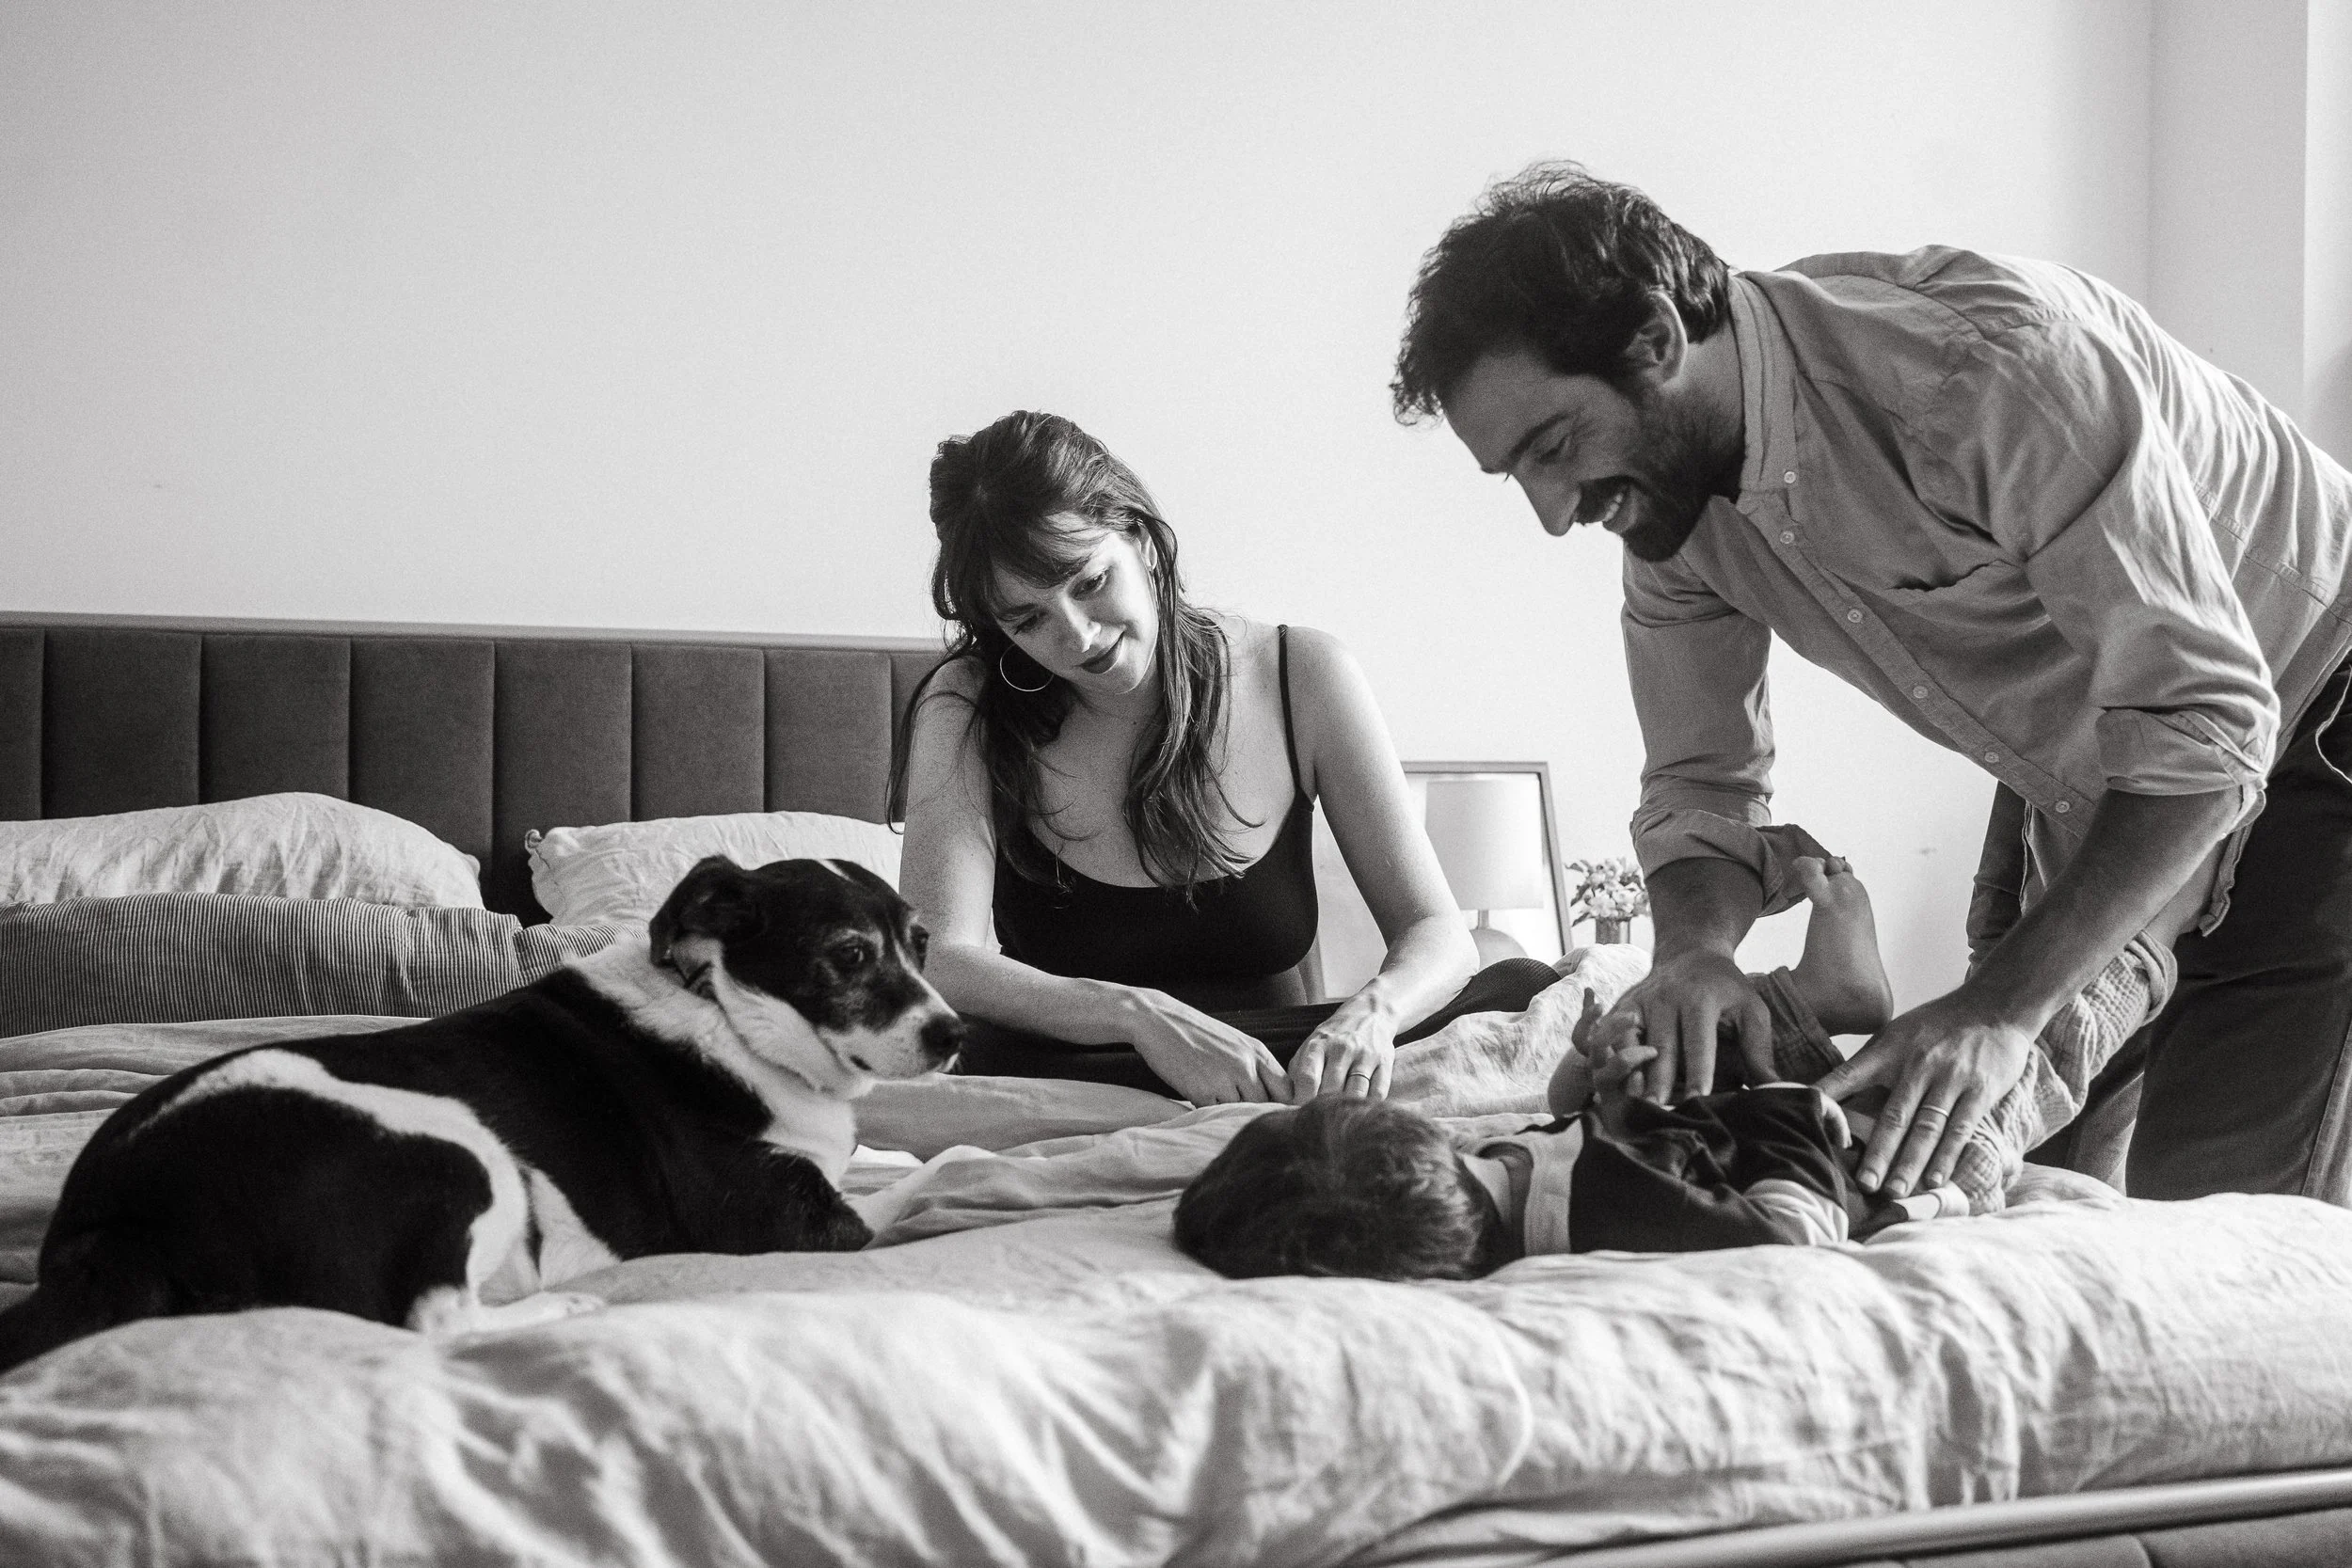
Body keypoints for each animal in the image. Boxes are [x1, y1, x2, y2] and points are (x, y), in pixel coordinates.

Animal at [0, 855, 962, 1375]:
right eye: (850, 955)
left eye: (921, 944)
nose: (954, 1034)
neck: (727, 1010)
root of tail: (115, 1225)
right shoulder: (787, 1222)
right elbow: (939, 1170)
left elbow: (895, 1159)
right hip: (469, 1150)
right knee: (435, 1317)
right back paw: (562, 1306)